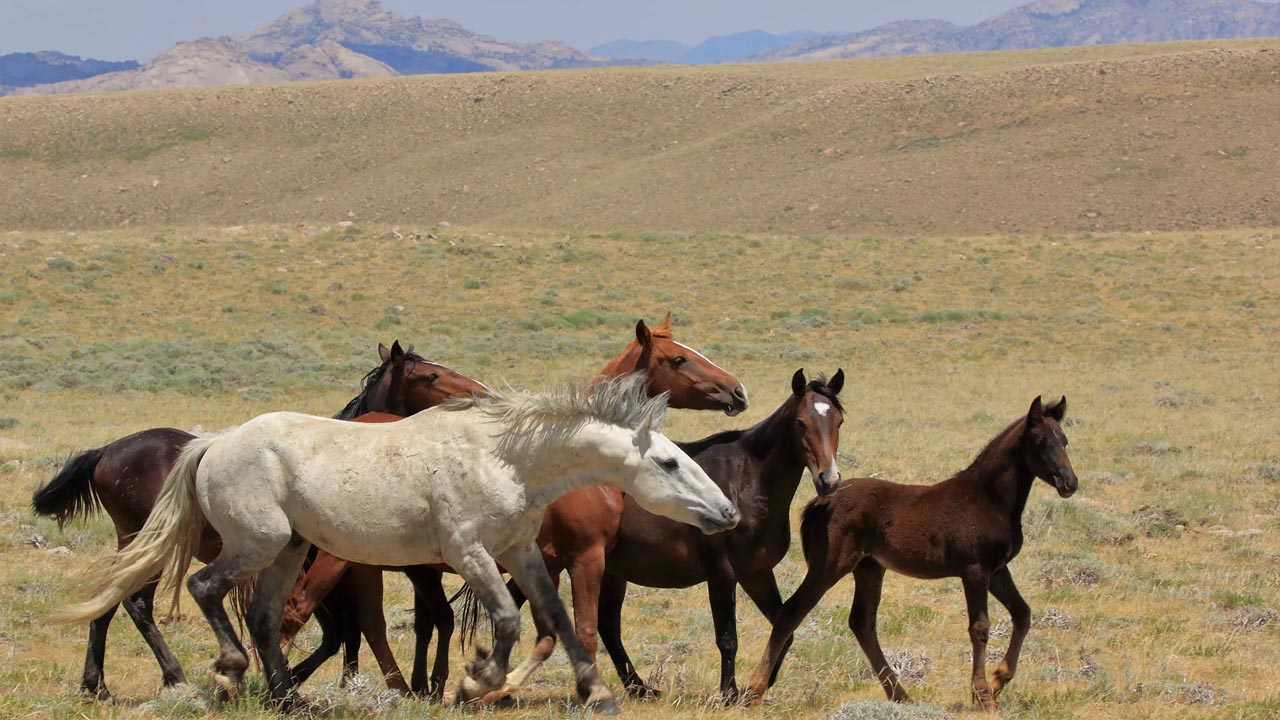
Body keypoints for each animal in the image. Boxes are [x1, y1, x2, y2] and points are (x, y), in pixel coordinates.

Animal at [35, 340, 486, 702]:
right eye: (430, 374)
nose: (479, 392)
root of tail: (106, 451)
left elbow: (338, 633)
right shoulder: (337, 568)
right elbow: (339, 627)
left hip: (135, 544)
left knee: (109, 602)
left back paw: (97, 685)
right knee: (137, 603)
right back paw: (173, 676)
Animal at [57, 376, 742, 712]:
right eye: (669, 463)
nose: (726, 512)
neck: (506, 457)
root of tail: (214, 441)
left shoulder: (521, 552)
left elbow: (558, 621)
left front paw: (595, 695)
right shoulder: (470, 553)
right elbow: (506, 621)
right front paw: (474, 683)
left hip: (286, 550)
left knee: (261, 615)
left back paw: (290, 699)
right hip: (261, 541)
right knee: (205, 590)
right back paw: (227, 674)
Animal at [273, 311, 747, 691]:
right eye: (679, 359)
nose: (738, 392)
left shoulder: (541, 563)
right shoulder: (585, 557)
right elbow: (586, 630)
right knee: (307, 613)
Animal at [747, 394, 1075, 707]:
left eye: (1064, 440)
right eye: (1040, 441)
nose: (1069, 482)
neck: (988, 498)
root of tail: (818, 502)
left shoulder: (997, 569)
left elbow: (1022, 614)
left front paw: (997, 682)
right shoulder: (975, 570)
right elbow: (980, 627)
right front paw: (983, 695)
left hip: (868, 567)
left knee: (862, 623)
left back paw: (900, 695)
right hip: (829, 565)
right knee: (791, 612)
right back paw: (754, 690)